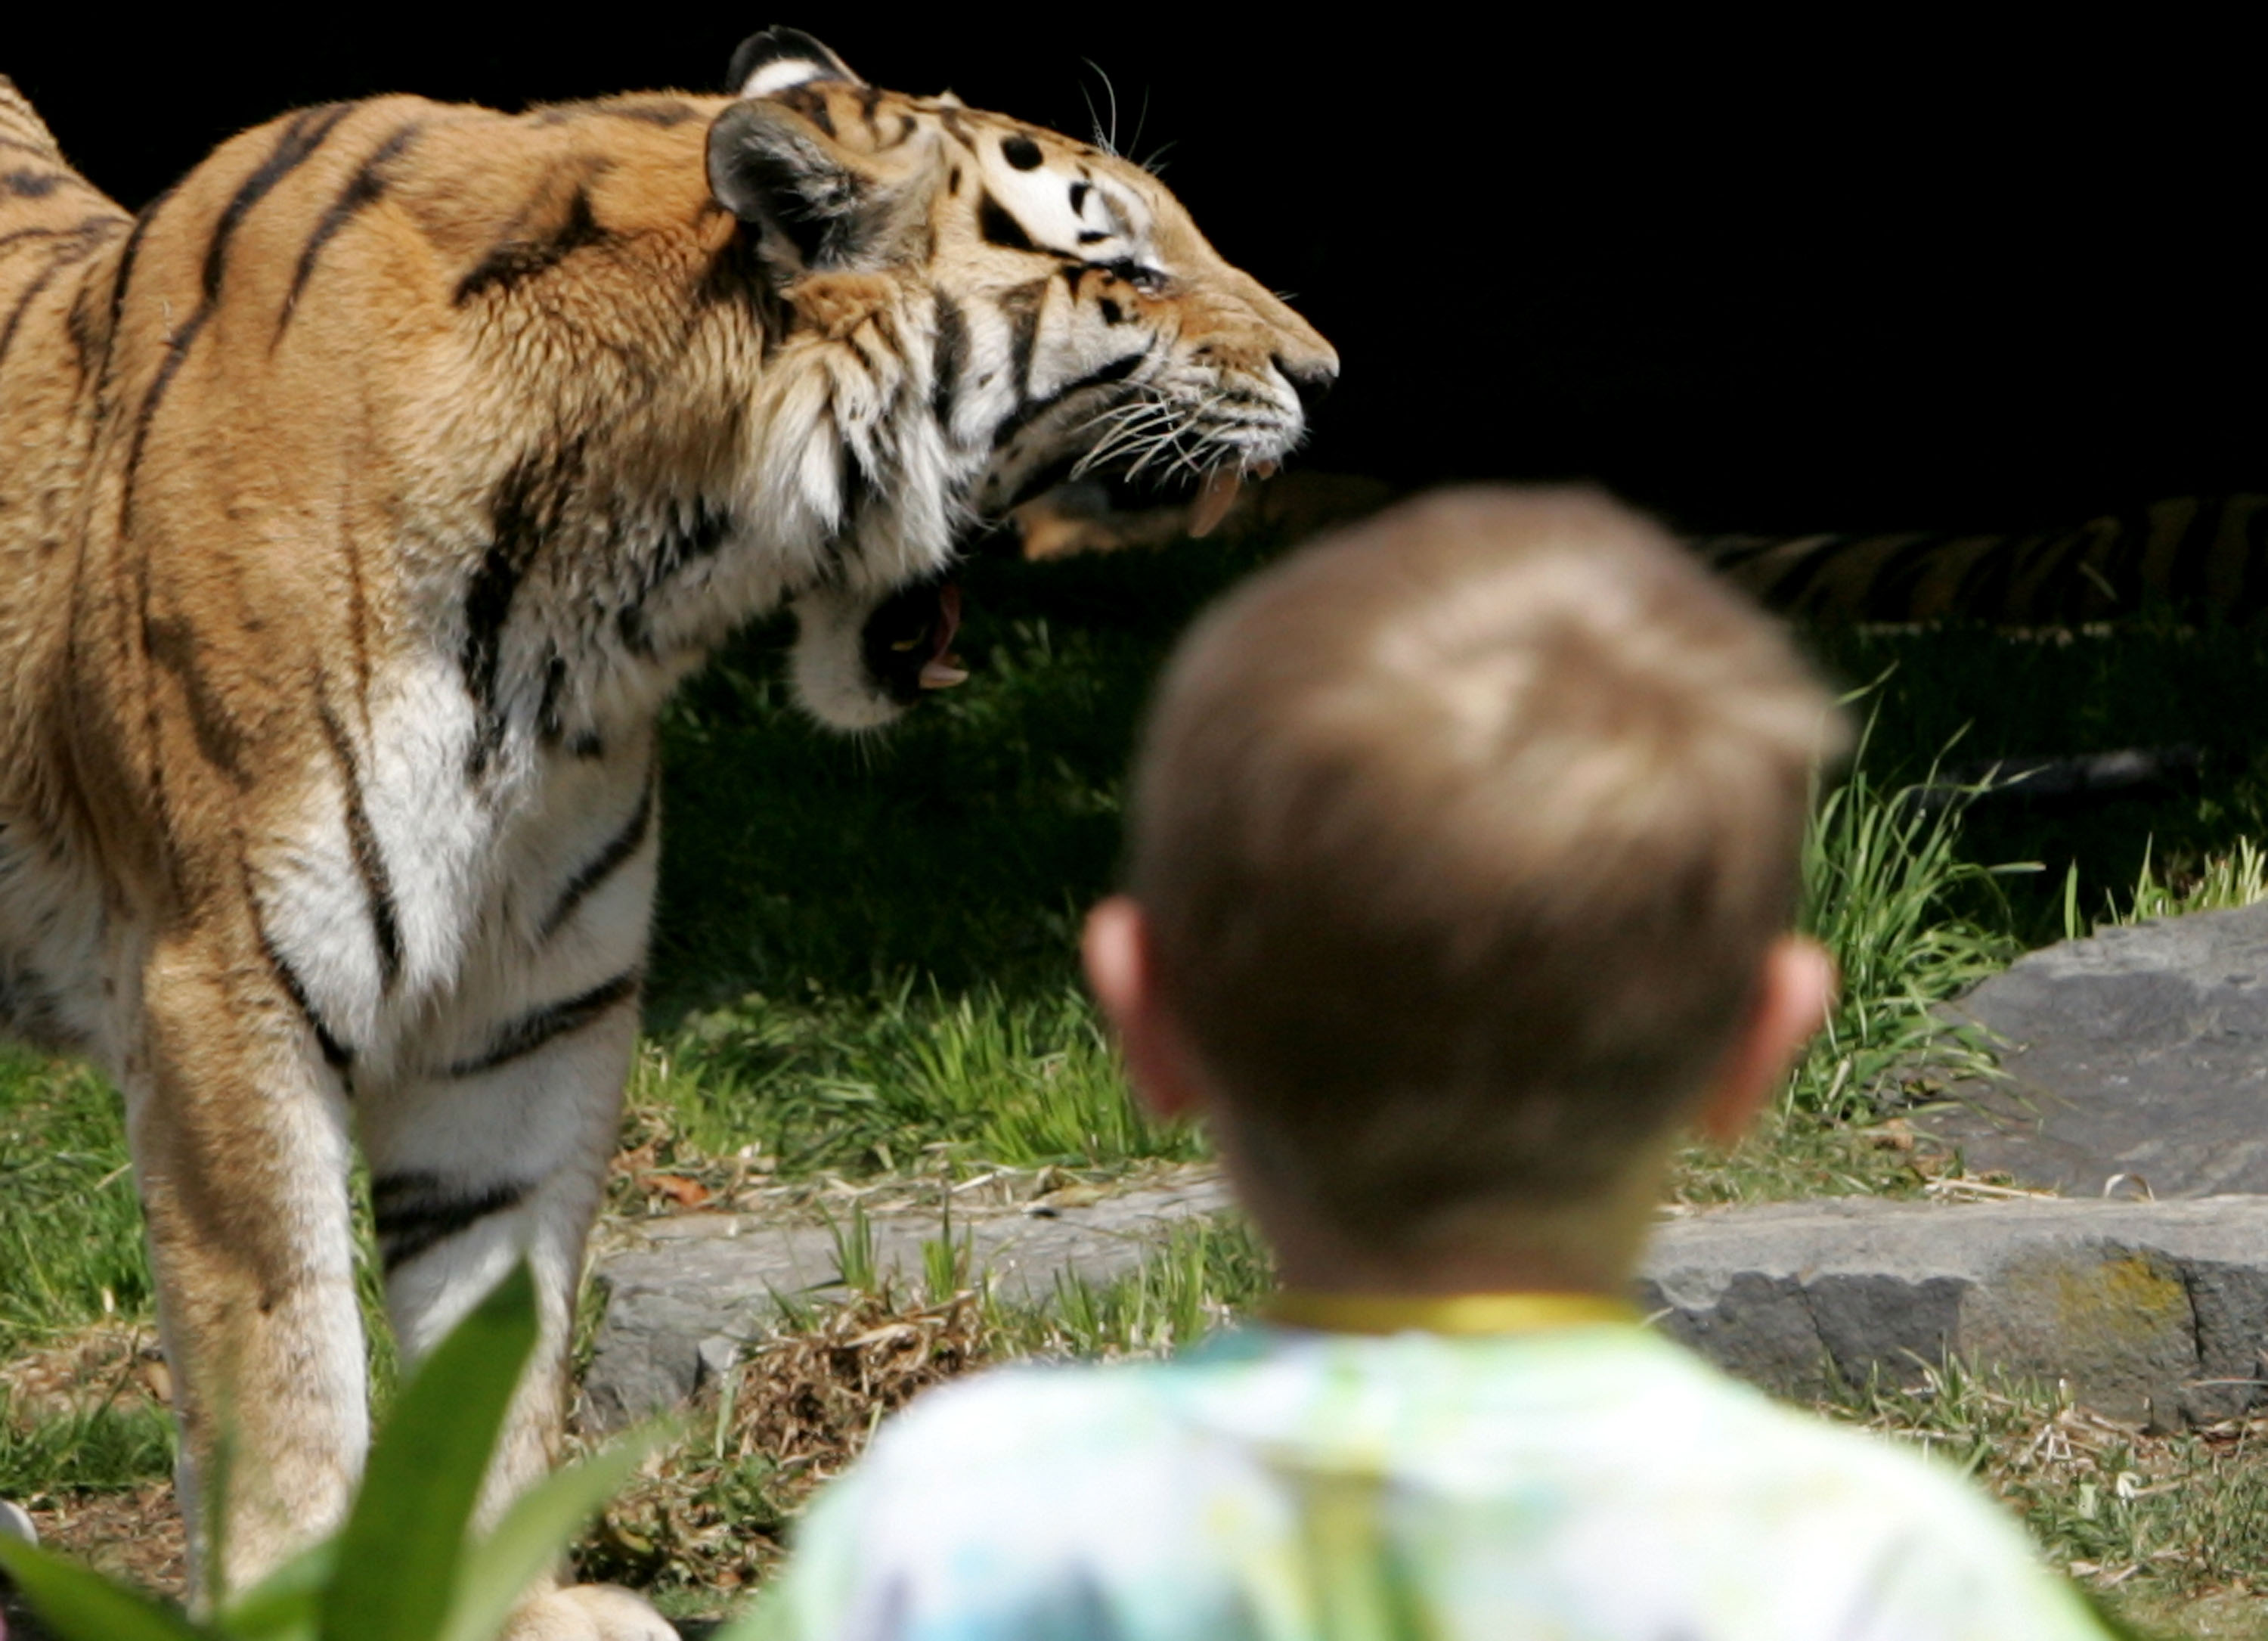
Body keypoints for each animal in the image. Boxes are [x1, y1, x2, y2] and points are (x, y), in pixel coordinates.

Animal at [0, 28, 1334, 1636]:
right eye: (1121, 267)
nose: (1325, 374)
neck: (603, 596)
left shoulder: (525, 1015)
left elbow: (497, 1340)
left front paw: (491, 1598)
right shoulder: (225, 987)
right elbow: (288, 1359)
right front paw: (296, 1603)